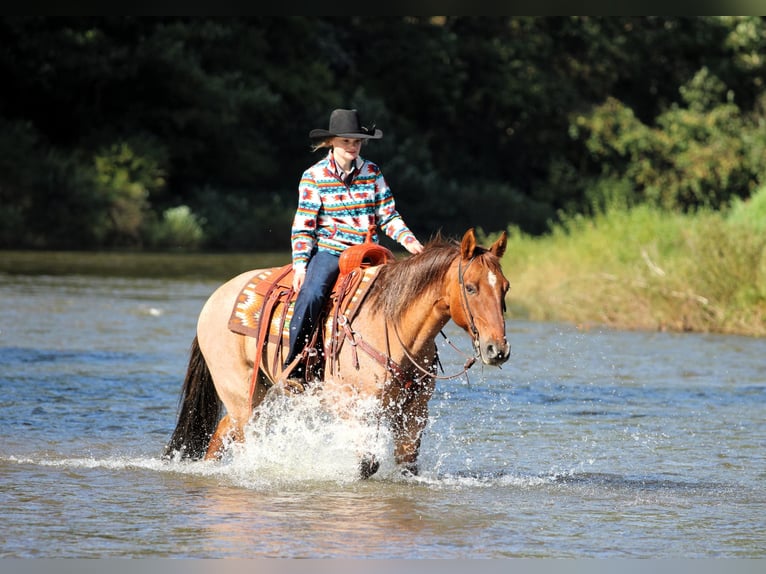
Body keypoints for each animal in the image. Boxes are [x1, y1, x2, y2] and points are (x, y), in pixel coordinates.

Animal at [163, 228, 510, 478]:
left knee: (221, 435)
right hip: (239, 394)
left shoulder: (414, 410)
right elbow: (366, 464)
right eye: (471, 288)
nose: (497, 349)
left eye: (505, 287)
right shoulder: (352, 405)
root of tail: (214, 299)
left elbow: (407, 464)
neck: (391, 322)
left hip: (259, 391)